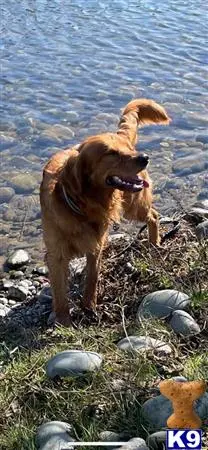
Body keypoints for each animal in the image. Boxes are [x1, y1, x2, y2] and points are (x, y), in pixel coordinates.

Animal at [39, 99, 170, 324]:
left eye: (127, 149)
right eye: (111, 153)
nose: (145, 157)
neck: (83, 208)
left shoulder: (96, 245)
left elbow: (92, 278)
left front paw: (89, 307)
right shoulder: (56, 254)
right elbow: (60, 292)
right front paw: (63, 320)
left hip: (134, 205)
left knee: (153, 216)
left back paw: (154, 243)